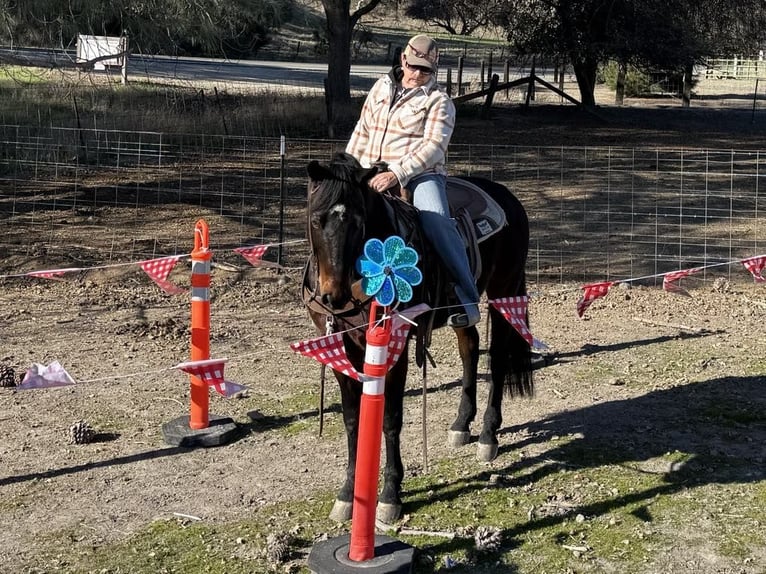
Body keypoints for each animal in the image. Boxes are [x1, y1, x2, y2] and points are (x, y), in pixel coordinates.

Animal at [302, 153, 536, 528]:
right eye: (316, 218)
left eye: (357, 221)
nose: (332, 296)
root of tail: (507, 196)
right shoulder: (342, 346)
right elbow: (352, 420)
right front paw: (347, 496)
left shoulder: (395, 344)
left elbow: (390, 419)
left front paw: (389, 496)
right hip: (462, 310)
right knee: (470, 347)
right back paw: (461, 424)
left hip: (505, 290)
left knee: (498, 358)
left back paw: (488, 435)